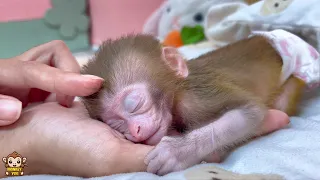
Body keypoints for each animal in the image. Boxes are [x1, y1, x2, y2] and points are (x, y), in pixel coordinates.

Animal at [80, 29, 320, 176]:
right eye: (116, 124)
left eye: (134, 104)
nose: (135, 131)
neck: (178, 93)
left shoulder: (197, 97)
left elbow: (250, 111)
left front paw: (177, 151)